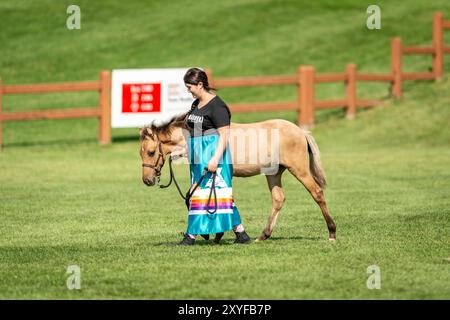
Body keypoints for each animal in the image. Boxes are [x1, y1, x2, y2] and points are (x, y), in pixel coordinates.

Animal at [139, 116, 336, 241]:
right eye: (140, 153)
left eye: (151, 152)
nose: (147, 180)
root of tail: (301, 132)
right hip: (274, 173)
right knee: (278, 199)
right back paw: (263, 235)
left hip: (299, 169)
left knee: (317, 192)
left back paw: (332, 233)